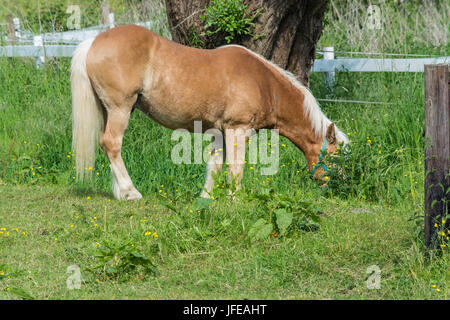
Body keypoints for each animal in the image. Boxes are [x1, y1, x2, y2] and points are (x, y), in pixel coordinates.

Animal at [72, 24, 350, 200]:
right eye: (336, 157)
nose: (341, 187)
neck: (264, 83)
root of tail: (93, 41)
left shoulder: (220, 132)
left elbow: (215, 165)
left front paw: (206, 197)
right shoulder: (238, 130)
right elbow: (236, 167)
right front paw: (235, 198)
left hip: (108, 110)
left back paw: (120, 192)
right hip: (120, 109)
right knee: (112, 144)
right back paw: (130, 192)